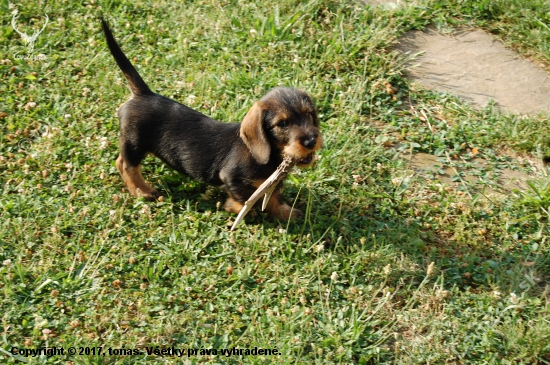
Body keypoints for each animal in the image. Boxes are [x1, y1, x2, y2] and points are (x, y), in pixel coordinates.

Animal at [102, 20, 324, 219]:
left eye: (309, 114)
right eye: (282, 124)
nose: (311, 141)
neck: (271, 156)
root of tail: (143, 94)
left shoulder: (271, 182)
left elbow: (272, 196)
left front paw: (285, 213)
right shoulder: (231, 177)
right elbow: (247, 199)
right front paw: (232, 207)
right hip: (135, 143)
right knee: (126, 165)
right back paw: (142, 191)